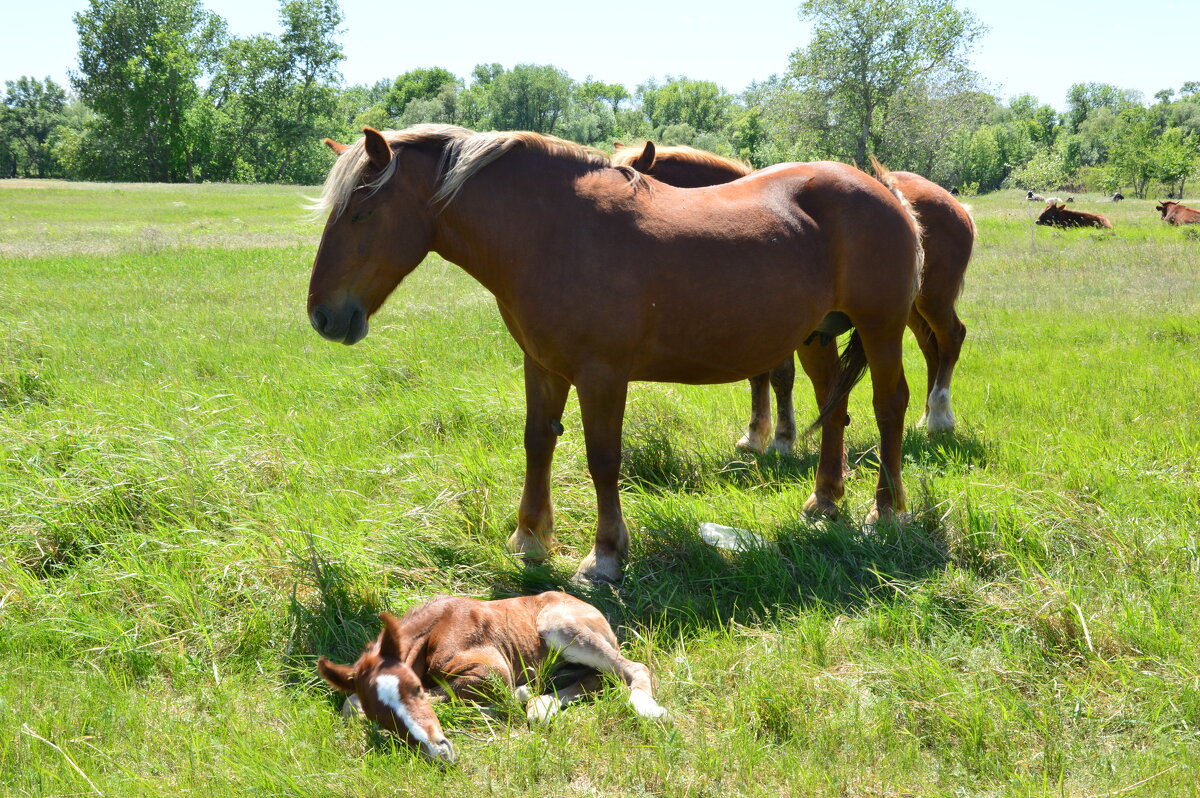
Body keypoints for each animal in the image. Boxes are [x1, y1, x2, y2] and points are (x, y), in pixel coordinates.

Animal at [307, 126, 916, 585]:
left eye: (361, 213)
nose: (322, 317)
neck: (552, 232)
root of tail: (886, 191)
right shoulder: (542, 365)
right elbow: (537, 443)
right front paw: (530, 538)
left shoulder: (601, 374)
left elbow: (602, 458)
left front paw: (604, 556)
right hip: (816, 335)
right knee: (835, 405)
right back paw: (825, 500)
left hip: (882, 329)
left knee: (889, 407)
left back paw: (885, 511)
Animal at [316, 588, 667, 763]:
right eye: (380, 717)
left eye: (414, 689)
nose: (438, 752)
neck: (433, 632)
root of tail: (592, 608)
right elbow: (350, 706)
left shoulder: (491, 670)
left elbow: (456, 696)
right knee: (596, 679)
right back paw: (541, 706)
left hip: (559, 626)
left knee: (631, 669)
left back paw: (647, 708)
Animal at [614, 139, 979, 444]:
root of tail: (955, 205)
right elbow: (760, 376)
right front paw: (757, 435)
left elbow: (780, 377)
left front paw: (781, 437)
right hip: (907, 311)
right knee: (932, 349)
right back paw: (926, 417)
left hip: (932, 301)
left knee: (951, 338)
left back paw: (940, 417)